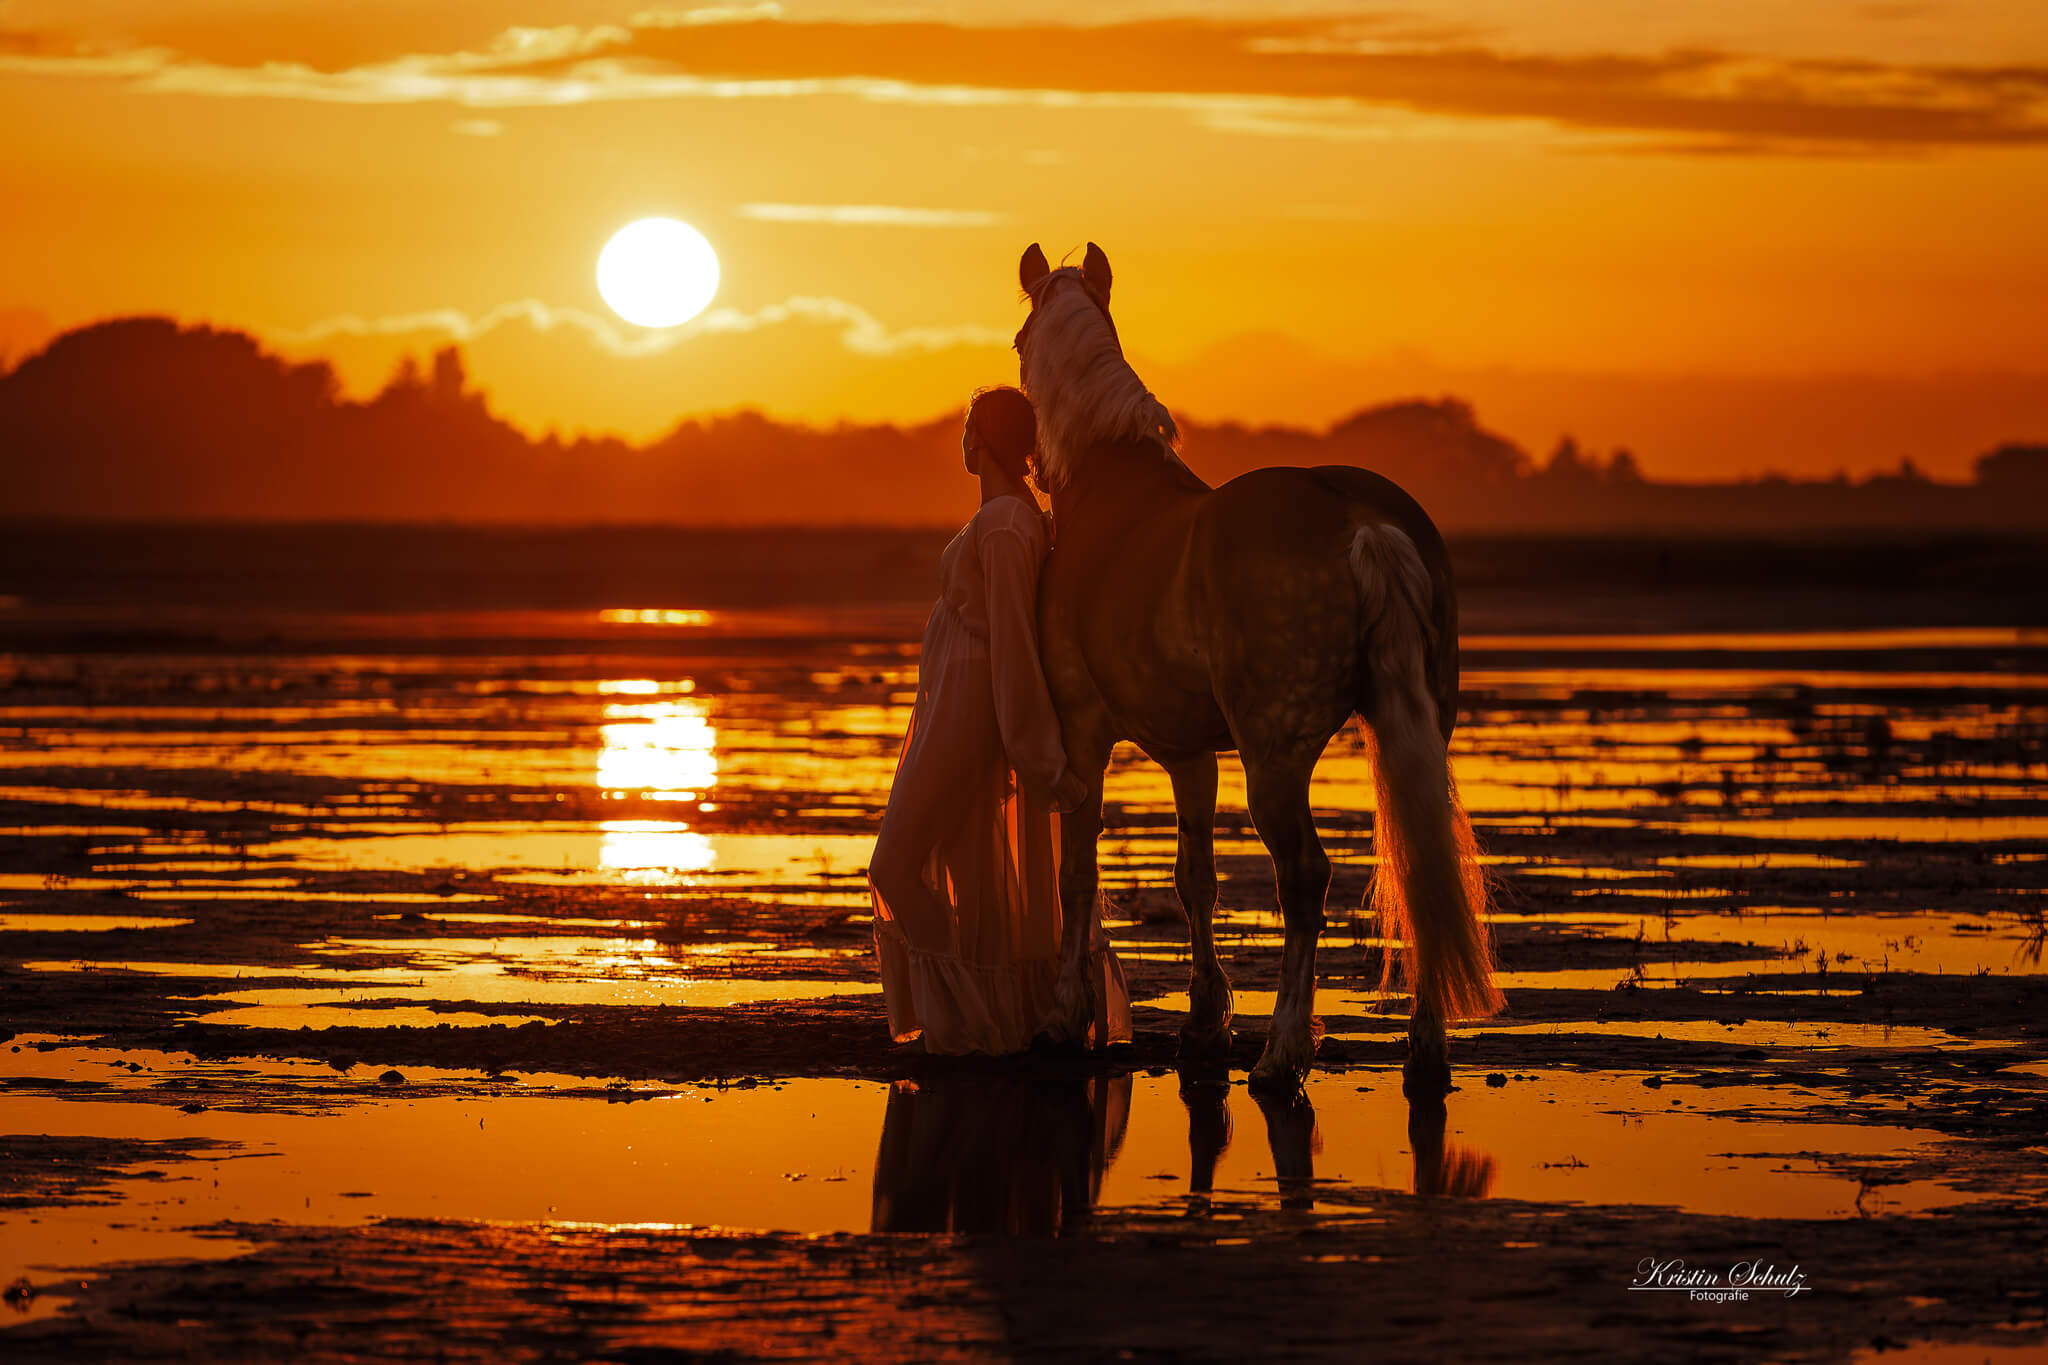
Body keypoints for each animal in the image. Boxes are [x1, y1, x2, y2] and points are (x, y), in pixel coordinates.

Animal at [1015, 242, 1502, 1096]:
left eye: (1018, 342)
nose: (1035, 464)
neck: (1109, 490)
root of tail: (1358, 517)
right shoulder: (1188, 752)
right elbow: (1195, 875)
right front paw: (1204, 1019)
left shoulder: (1084, 735)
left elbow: (1079, 871)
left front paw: (1063, 1018)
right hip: (1414, 729)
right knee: (1418, 870)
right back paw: (1424, 1049)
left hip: (1274, 759)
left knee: (1304, 877)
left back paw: (1283, 1052)